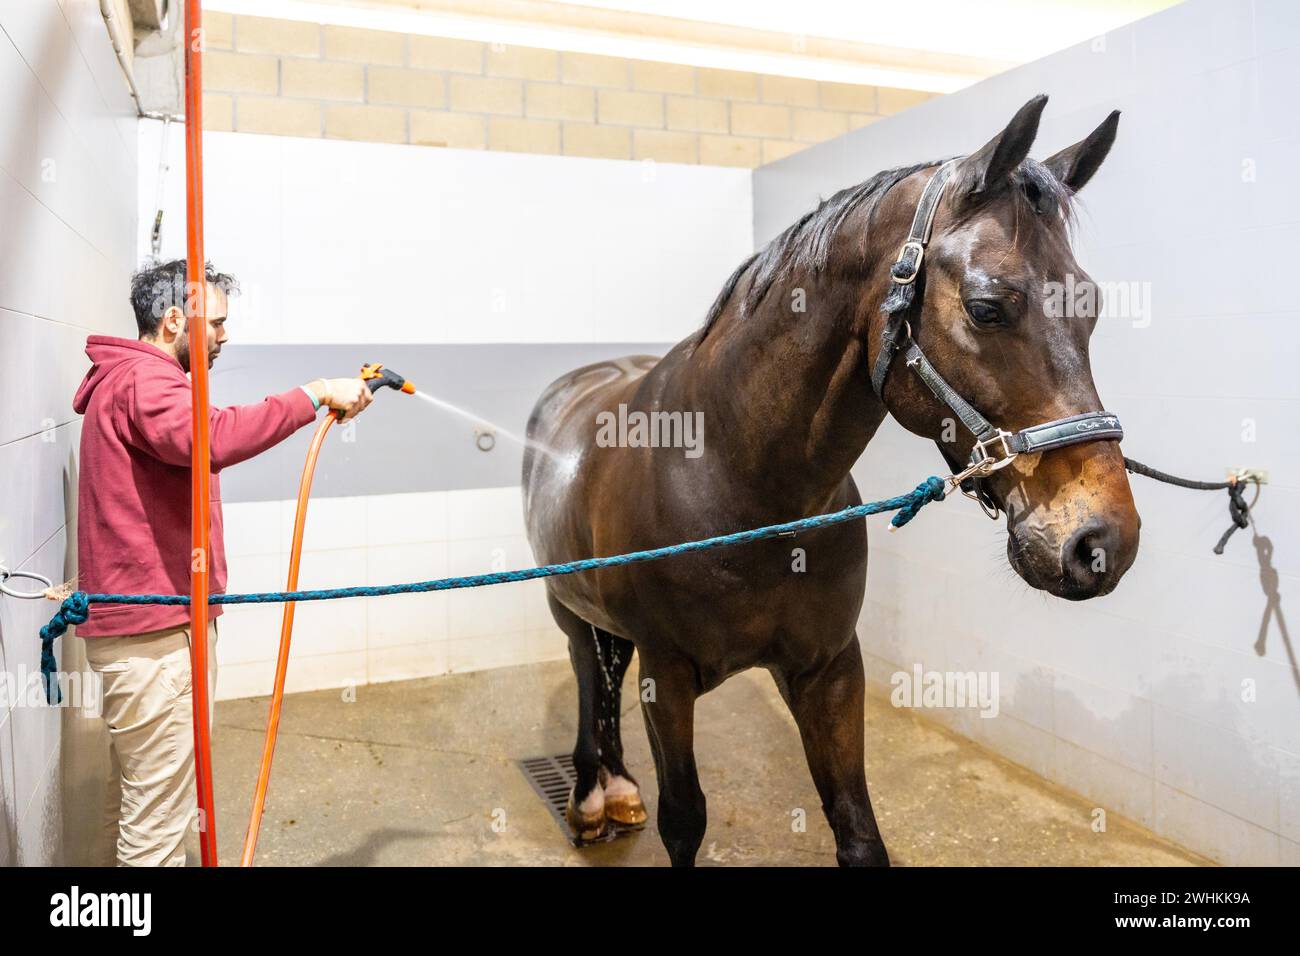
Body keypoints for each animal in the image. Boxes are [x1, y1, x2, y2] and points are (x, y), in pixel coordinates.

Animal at [522, 97, 1144, 868]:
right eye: (986, 306)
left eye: (1091, 304)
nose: (1103, 539)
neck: (740, 483)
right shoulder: (667, 679)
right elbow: (685, 820)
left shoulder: (831, 670)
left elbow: (858, 829)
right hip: (566, 605)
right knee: (589, 672)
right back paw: (591, 797)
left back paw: (616, 790)